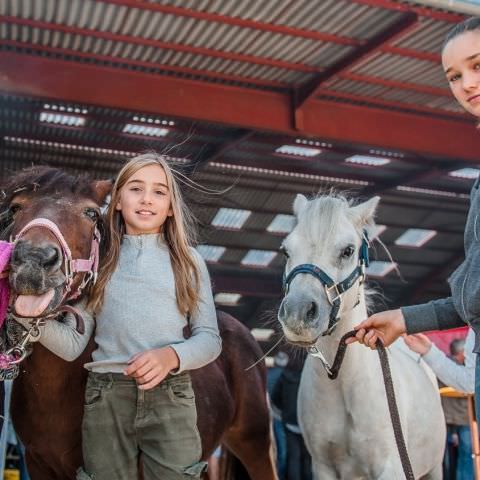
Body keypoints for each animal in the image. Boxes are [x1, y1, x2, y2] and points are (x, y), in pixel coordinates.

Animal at [278, 194, 446, 480]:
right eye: (286, 251)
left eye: (348, 251)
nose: (297, 314)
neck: (342, 378)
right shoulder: (323, 467)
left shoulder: (391, 468)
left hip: (434, 469)